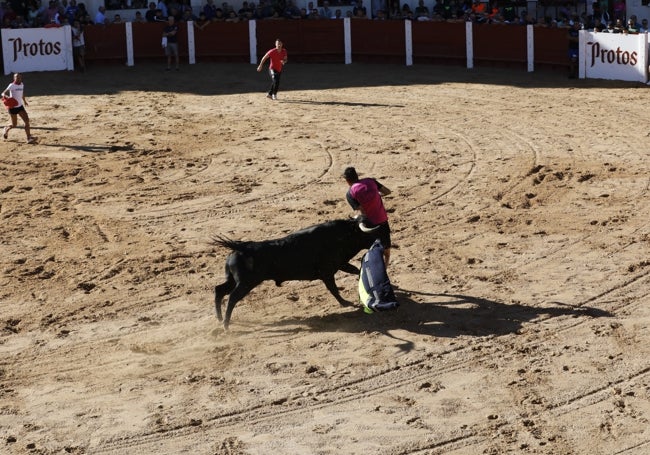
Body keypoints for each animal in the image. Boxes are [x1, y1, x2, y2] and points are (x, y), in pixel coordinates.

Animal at [210, 219, 378, 330]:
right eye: (369, 232)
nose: (380, 241)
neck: (341, 235)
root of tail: (241, 247)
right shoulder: (327, 272)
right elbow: (334, 289)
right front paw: (346, 303)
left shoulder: (340, 264)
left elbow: (355, 271)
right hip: (246, 283)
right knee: (232, 297)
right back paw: (226, 326)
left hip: (233, 280)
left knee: (219, 290)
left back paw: (220, 319)